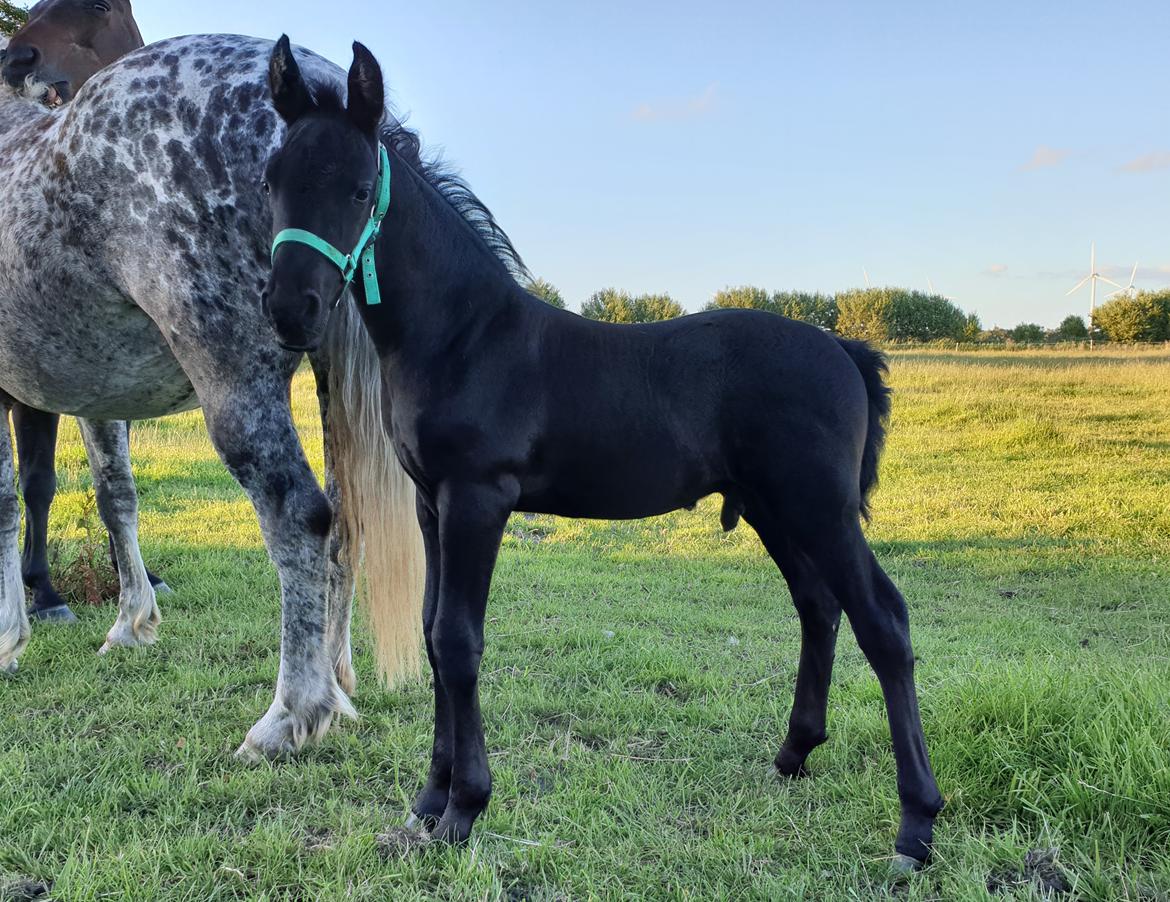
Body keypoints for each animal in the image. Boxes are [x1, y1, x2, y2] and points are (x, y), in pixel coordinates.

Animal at [0, 31, 425, 758]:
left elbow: (6, 498)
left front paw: (8, 636)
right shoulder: (98, 395)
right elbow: (115, 497)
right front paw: (131, 622)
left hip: (235, 385)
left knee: (300, 517)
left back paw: (292, 714)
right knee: (346, 522)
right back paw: (336, 674)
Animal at [260, 36, 945, 865]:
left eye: (360, 189)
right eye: (273, 179)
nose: (289, 309)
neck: (463, 335)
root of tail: (844, 349)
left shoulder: (478, 499)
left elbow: (457, 642)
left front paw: (464, 809)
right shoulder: (431, 504)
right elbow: (429, 634)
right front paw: (428, 799)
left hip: (819, 507)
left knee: (883, 621)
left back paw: (915, 824)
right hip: (774, 509)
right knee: (819, 606)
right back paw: (793, 754)